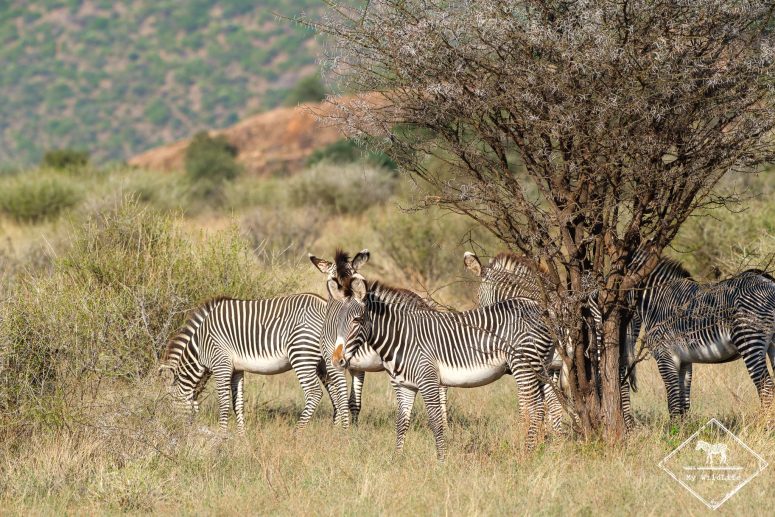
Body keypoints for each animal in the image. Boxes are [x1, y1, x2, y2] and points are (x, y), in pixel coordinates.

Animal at [159, 294, 333, 433]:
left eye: (170, 403)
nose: (173, 429)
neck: (200, 346)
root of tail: (324, 303)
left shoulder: (221, 364)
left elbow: (224, 403)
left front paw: (222, 437)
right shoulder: (236, 369)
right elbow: (238, 404)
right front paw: (242, 437)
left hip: (302, 354)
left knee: (314, 392)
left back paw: (297, 433)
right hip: (325, 360)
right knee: (337, 393)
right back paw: (338, 432)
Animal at [309, 250, 449, 427]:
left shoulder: (333, 363)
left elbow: (340, 399)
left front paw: (341, 429)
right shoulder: (356, 367)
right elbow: (353, 402)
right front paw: (353, 428)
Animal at [327, 265, 556, 460]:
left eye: (357, 320)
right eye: (338, 321)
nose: (336, 360)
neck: (401, 337)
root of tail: (540, 307)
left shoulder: (428, 381)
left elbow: (436, 422)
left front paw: (441, 461)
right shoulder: (405, 385)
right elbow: (401, 422)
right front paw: (397, 459)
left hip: (524, 366)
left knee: (534, 409)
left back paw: (527, 455)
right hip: (541, 368)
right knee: (542, 408)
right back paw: (536, 450)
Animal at [625, 253, 775, 419]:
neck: (658, 300)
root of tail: (768, 280)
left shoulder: (665, 356)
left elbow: (673, 403)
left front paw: (674, 426)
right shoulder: (685, 360)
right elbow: (683, 404)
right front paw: (683, 425)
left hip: (749, 339)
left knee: (766, 388)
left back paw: (764, 424)